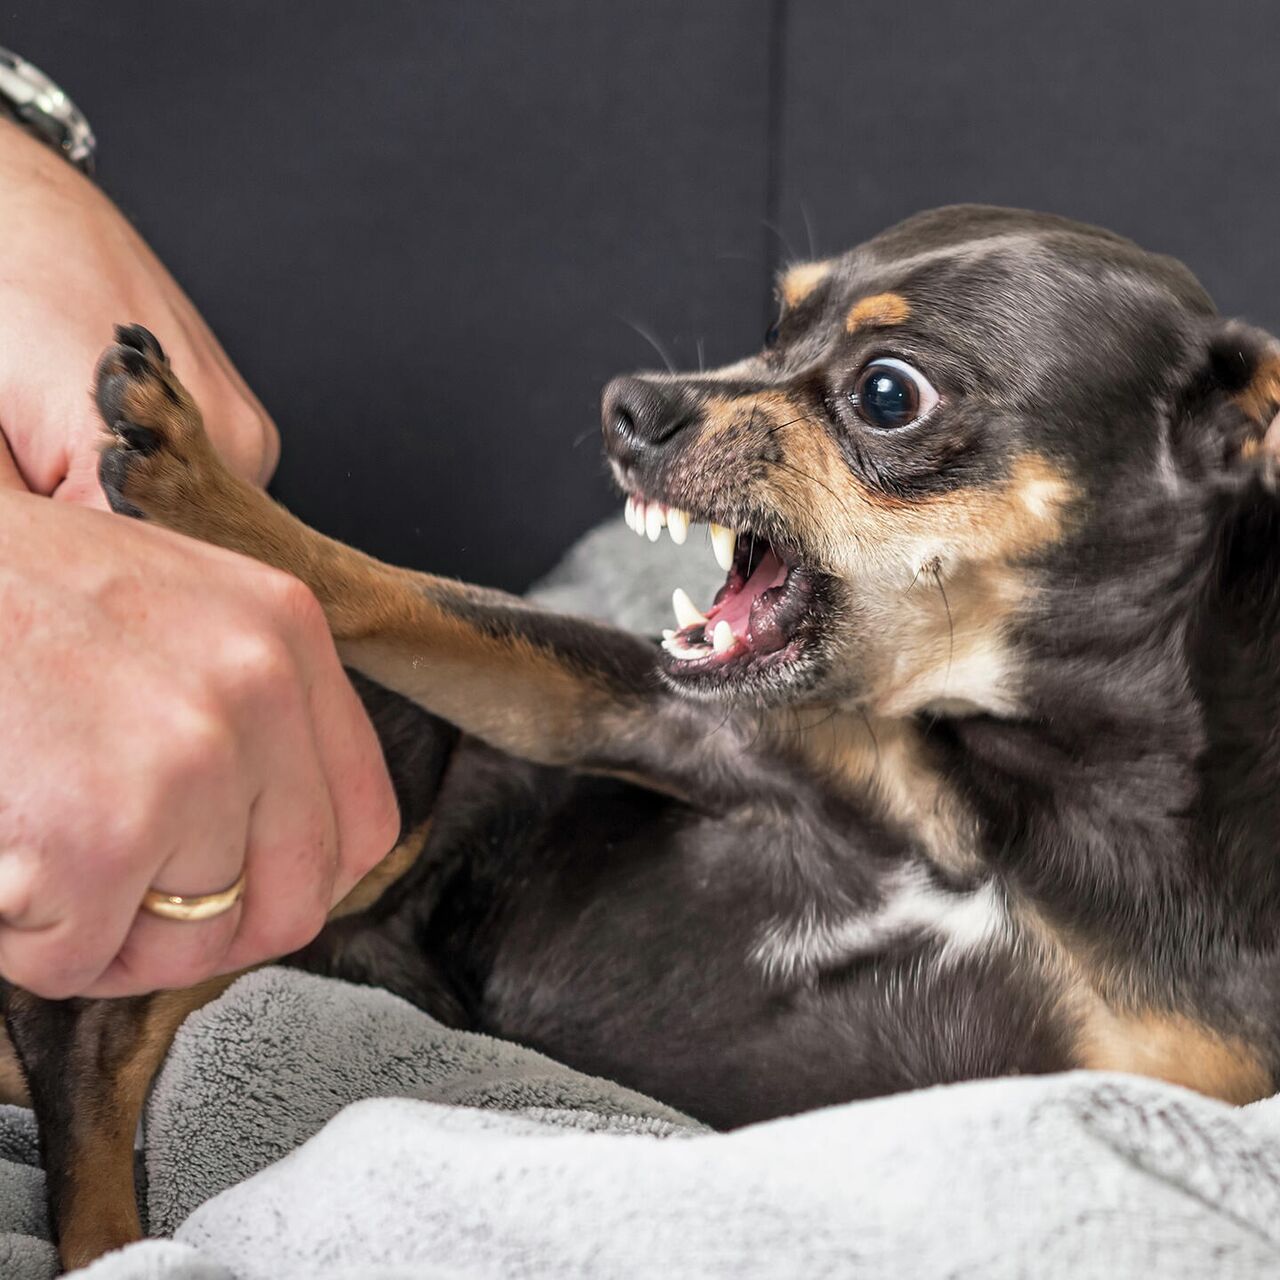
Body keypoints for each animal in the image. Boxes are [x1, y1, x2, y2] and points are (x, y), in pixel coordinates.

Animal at [2, 204, 1280, 1264]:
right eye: (771, 328)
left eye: (886, 393)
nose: (630, 404)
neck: (1020, 787)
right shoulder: (644, 712)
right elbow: (394, 589)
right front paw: (206, 489)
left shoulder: (1159, 1086)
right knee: (93, 1040)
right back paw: (107, 1236)